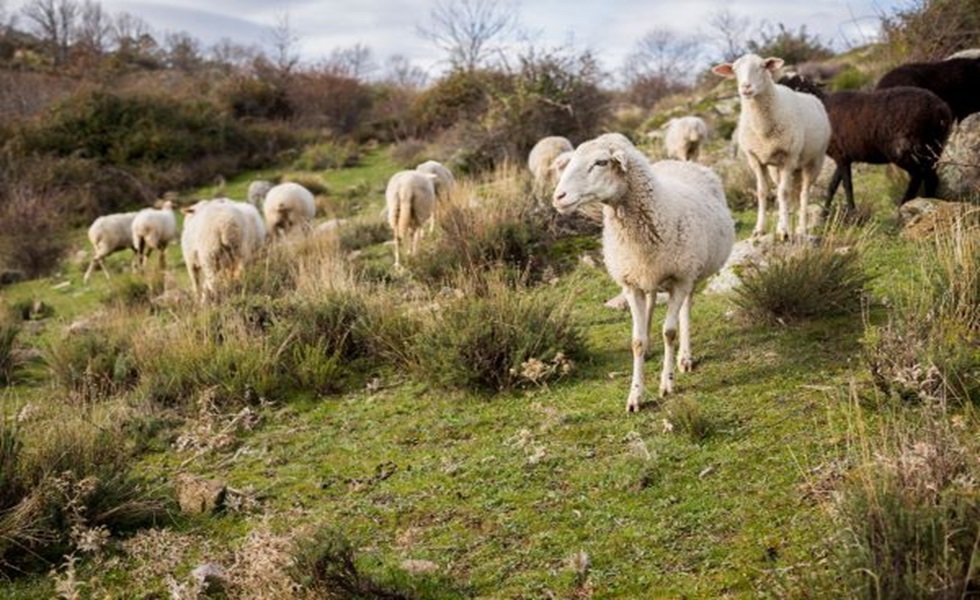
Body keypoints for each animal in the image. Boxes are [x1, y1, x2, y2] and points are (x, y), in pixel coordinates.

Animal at [552, 132, 736, 412]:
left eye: (601, 162)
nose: (559, 197)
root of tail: (678, 161)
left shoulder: (680, 279)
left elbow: (669, 332)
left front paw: (667, 383)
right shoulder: (630, 283)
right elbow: (636, 341)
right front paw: (635, 395)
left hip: (691, 274)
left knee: (686, 309)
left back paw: (685, 356)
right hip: (648, 276)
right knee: (651, 302)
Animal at [708, 54, 832, 240]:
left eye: (762, 66)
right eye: (735, 70)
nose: (745, 87)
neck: (763, 128)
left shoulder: (789, 157)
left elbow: (784, 192)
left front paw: (784, 231)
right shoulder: (755, 159)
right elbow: (762, 192)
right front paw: (760, 229)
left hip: (814, 161)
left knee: (803, 193)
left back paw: (801, 228)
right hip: (777, 168)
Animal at [780, 74, 948, 210]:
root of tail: (938, 109)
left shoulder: (841, 155)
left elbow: (847, 185)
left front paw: (851, 212)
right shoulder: (844, 156)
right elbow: (833, 185)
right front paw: (825, 213)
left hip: (905, 149)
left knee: (919, 175)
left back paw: (903, 206)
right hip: (933, 146)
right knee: (931, 177)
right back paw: (929, 202)